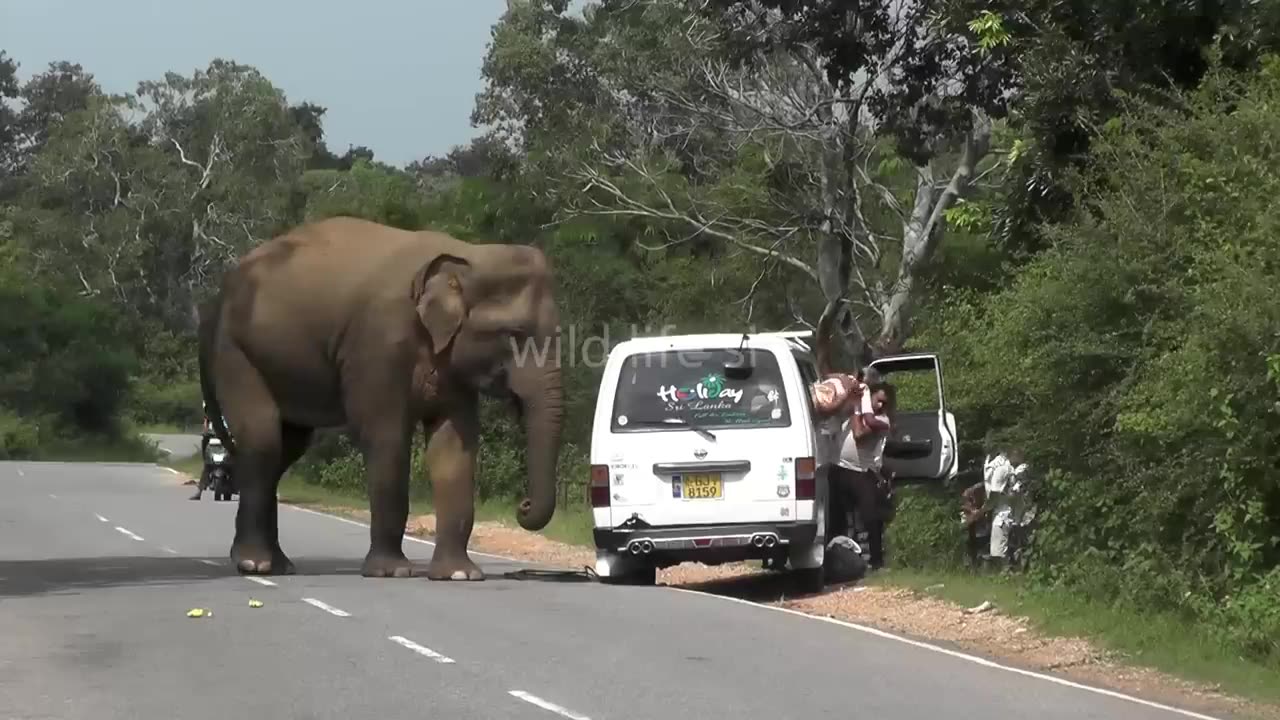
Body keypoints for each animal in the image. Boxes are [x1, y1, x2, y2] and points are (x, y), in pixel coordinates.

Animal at [195, 212, 565, 576]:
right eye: (514, 334)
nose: (523, 506)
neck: (468, 254)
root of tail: (217, 297)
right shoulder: (378, 344)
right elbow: (386, 436)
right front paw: (392, 571)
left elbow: (452, 447)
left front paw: (459, 574)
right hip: (236, 352)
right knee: (263, 439)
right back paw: (255, 564)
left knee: (286, 447)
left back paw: (277, 564)